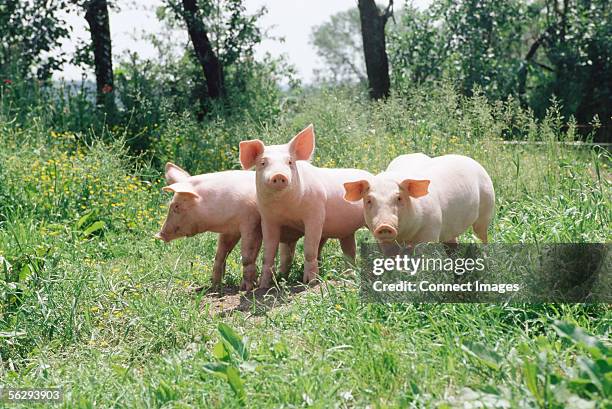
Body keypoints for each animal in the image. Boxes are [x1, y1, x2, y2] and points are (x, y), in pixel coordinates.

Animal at [155, 162, 304, 290]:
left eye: (176, 206)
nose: (158, 235)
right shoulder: (231, 230)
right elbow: (221, 253)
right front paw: (215, 286)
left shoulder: (251, 222)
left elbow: (248, 255)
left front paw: (246, 288)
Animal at [239, 124, 372, 286]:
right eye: (263, 163)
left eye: (290, 162)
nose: (279, 175)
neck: (286, 208)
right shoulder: (268, 220)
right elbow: (269, 254)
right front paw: (264, 285)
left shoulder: (315, 214)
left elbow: (309, 249)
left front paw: (310, 282)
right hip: (346, 232)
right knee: (349, 250)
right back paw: (348, 276)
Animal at [342, 155, 494, 245]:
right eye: (369, 200)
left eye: (399, 198)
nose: (384, 226)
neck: (405, 237)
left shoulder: (431, 230)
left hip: (487, 206)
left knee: (482, 233)